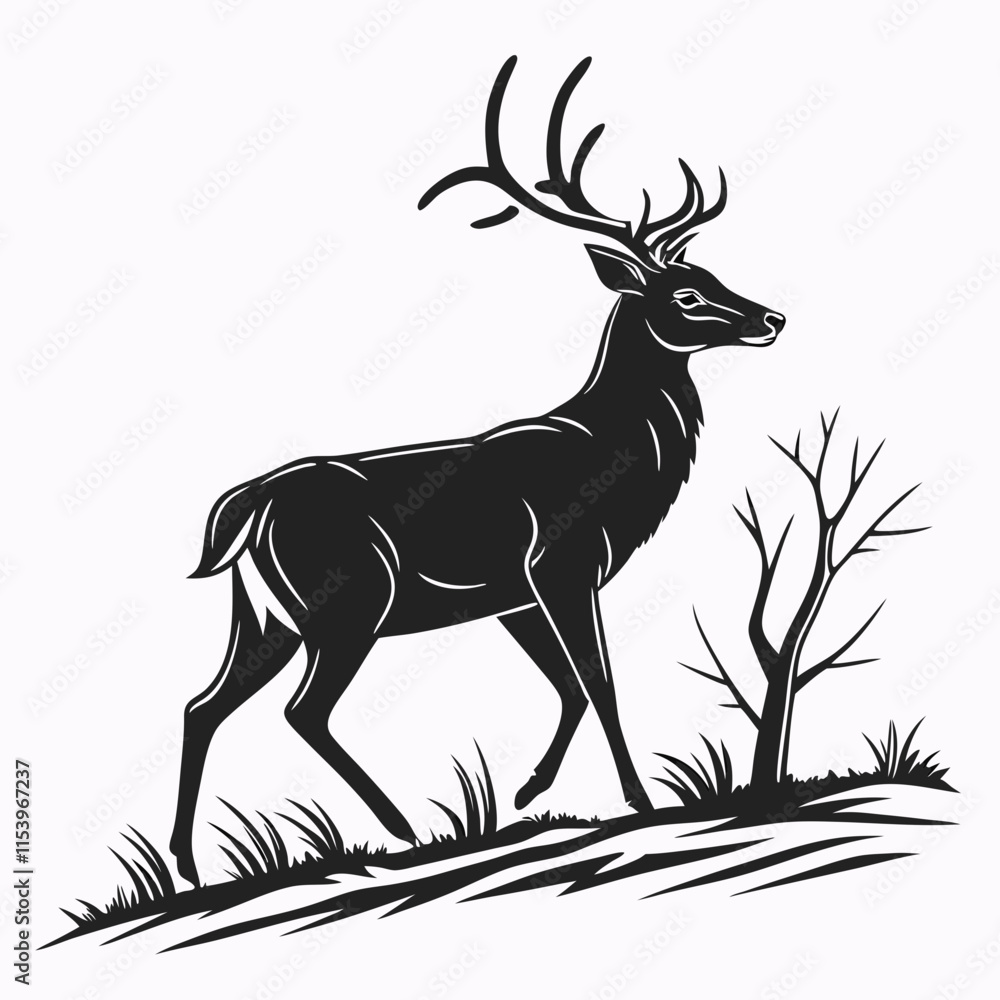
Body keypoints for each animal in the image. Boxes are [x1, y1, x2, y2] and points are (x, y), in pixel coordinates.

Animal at [169, 55, 783, 886]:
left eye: (715, 274)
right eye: (686, 293)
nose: (772, 317)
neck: (612, 453)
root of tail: (249, 506)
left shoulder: (513, 593)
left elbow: (569, 686)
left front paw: (529, 790)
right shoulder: (562, 561)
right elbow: (600, 680)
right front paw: (640, 799)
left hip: (262, 614)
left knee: (203, 704)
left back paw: (187, 864)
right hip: (350, 599)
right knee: (303, 710)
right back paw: (400, 826)